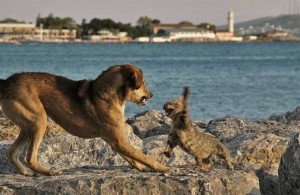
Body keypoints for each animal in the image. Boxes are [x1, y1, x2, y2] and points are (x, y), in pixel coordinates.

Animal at [0, 64, 170, 177]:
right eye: (143, 83)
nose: (152, 94)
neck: (108, 94)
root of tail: (6, 82)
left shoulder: (116, 142)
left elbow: (133, 158)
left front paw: (142, 168)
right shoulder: (119, 141)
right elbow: (143, 156)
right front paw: (163, 168)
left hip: (28, 126)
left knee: (11, 152)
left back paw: (25, 172)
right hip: (39, 121)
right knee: (30, 158)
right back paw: (49, 172)